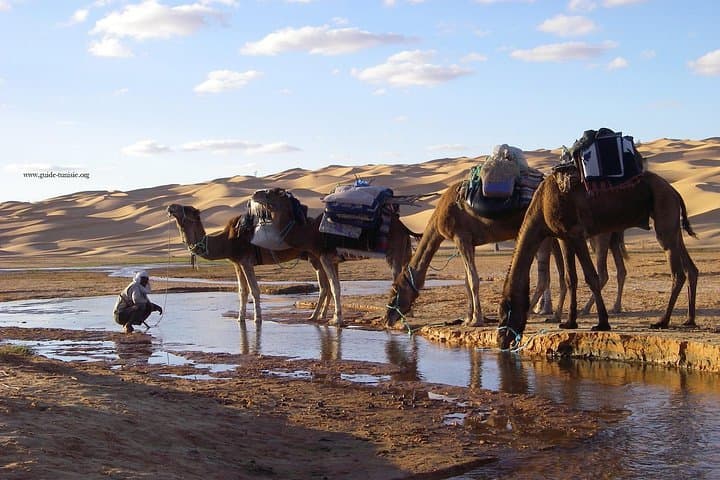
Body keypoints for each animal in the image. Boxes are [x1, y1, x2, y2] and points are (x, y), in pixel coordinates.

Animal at [166, 203, 332, 323]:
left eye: (187, 209)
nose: (170, 207)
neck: (226, 241)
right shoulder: (237, 263)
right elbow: (242, 291)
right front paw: (240, 318)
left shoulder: (246, 261)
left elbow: (254, 290)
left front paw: (257, 319)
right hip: (314, 257)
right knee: (327, 285)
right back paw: (321, 315)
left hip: (316, 255)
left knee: (324, 286)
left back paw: (314, 316)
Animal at [249, 188, 420, 327]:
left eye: (273, 192)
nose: (255, 193)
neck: (309, 233)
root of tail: (404, 228)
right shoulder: (333, 260)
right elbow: (332, 286)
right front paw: (326, 316)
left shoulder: (324, 257)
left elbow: (333, 286)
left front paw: (336, 319)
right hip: (404, 252)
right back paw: (408, 312)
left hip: (394, 253)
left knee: (397, 278)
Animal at [383, 179, 565, 329]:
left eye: (395, 291)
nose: (387, 319)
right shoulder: (470, 242)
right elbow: (466, 281)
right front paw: (467, 318)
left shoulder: (461, 236)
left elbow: (473, 279)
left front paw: (476, 320)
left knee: (544, 276)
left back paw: (529, 313)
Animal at [497, 168, 698, 350]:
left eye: (506, 310)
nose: (501, 340)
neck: (541, 205)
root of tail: (674, 191)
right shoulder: (564, 237)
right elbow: (571, 278)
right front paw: (569, 322)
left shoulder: (576, 233)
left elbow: (591, 276)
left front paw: (602, 323)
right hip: (672, 222)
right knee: (691, 268)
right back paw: (689, 319)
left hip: (663, 213)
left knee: (677, 272)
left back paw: (662, 321)